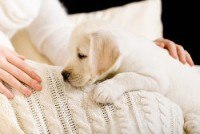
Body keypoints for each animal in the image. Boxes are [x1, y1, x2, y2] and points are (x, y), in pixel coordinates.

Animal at [62, 20, 200, 132]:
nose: (63, 75)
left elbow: (128, 76)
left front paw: (106, 89)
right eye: (69, 53)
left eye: (81, 55)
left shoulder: (157, 79)